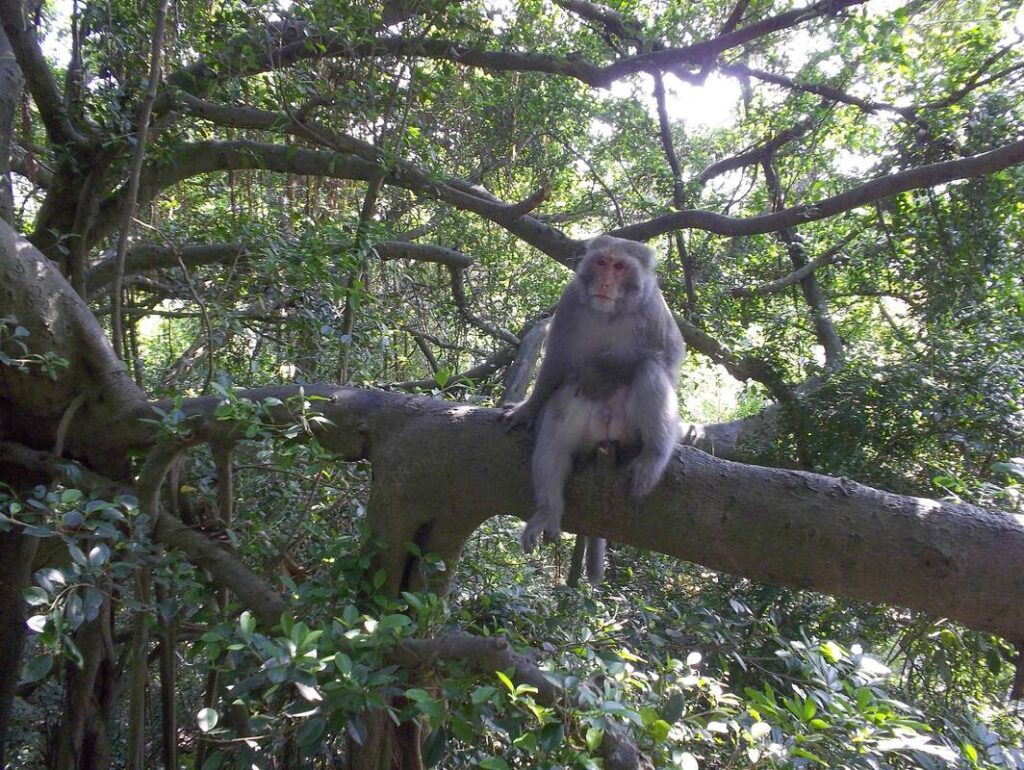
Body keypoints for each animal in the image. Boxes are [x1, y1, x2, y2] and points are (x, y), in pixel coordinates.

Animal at [501, 234, 679, 581]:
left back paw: (653, 456)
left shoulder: (654, 309)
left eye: (620, 266)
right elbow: (556, 363)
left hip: (630, 432)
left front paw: (601, 372)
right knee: (561, 403)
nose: (606, 281)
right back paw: (549, 510)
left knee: (649, 367)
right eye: (601, 262)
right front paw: (529, 408)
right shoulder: (570, 301)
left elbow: (668, 355)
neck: (609, 312)